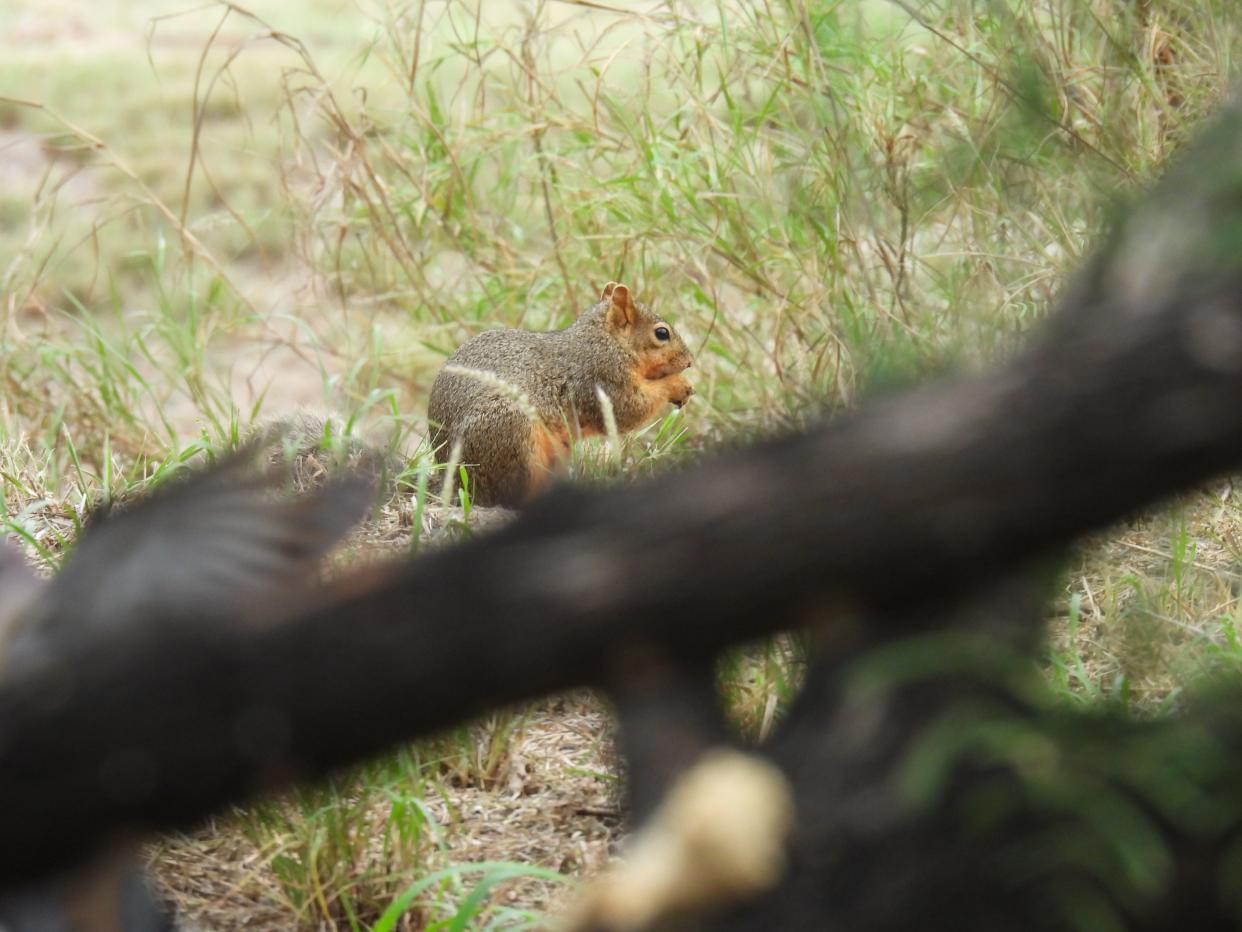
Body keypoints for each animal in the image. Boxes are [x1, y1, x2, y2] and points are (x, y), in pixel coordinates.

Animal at [429, 280, 695, 507]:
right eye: (662, 333)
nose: (690, 361)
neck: (607, 342)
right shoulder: (602, 380)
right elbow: (630, 409)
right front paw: (678, 385)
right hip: (511, 435)